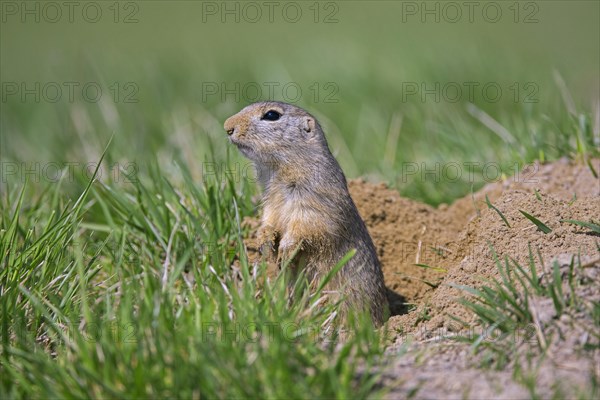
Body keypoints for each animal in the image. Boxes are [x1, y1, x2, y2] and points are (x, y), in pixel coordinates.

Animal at [225, 101, 390, 326]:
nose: (227, 127)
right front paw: (264, 241)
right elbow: (269, 218)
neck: (280, 169)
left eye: (271, 115)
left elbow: (307, 225)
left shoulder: (313, 198)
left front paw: (285, 251)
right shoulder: (271, 201)